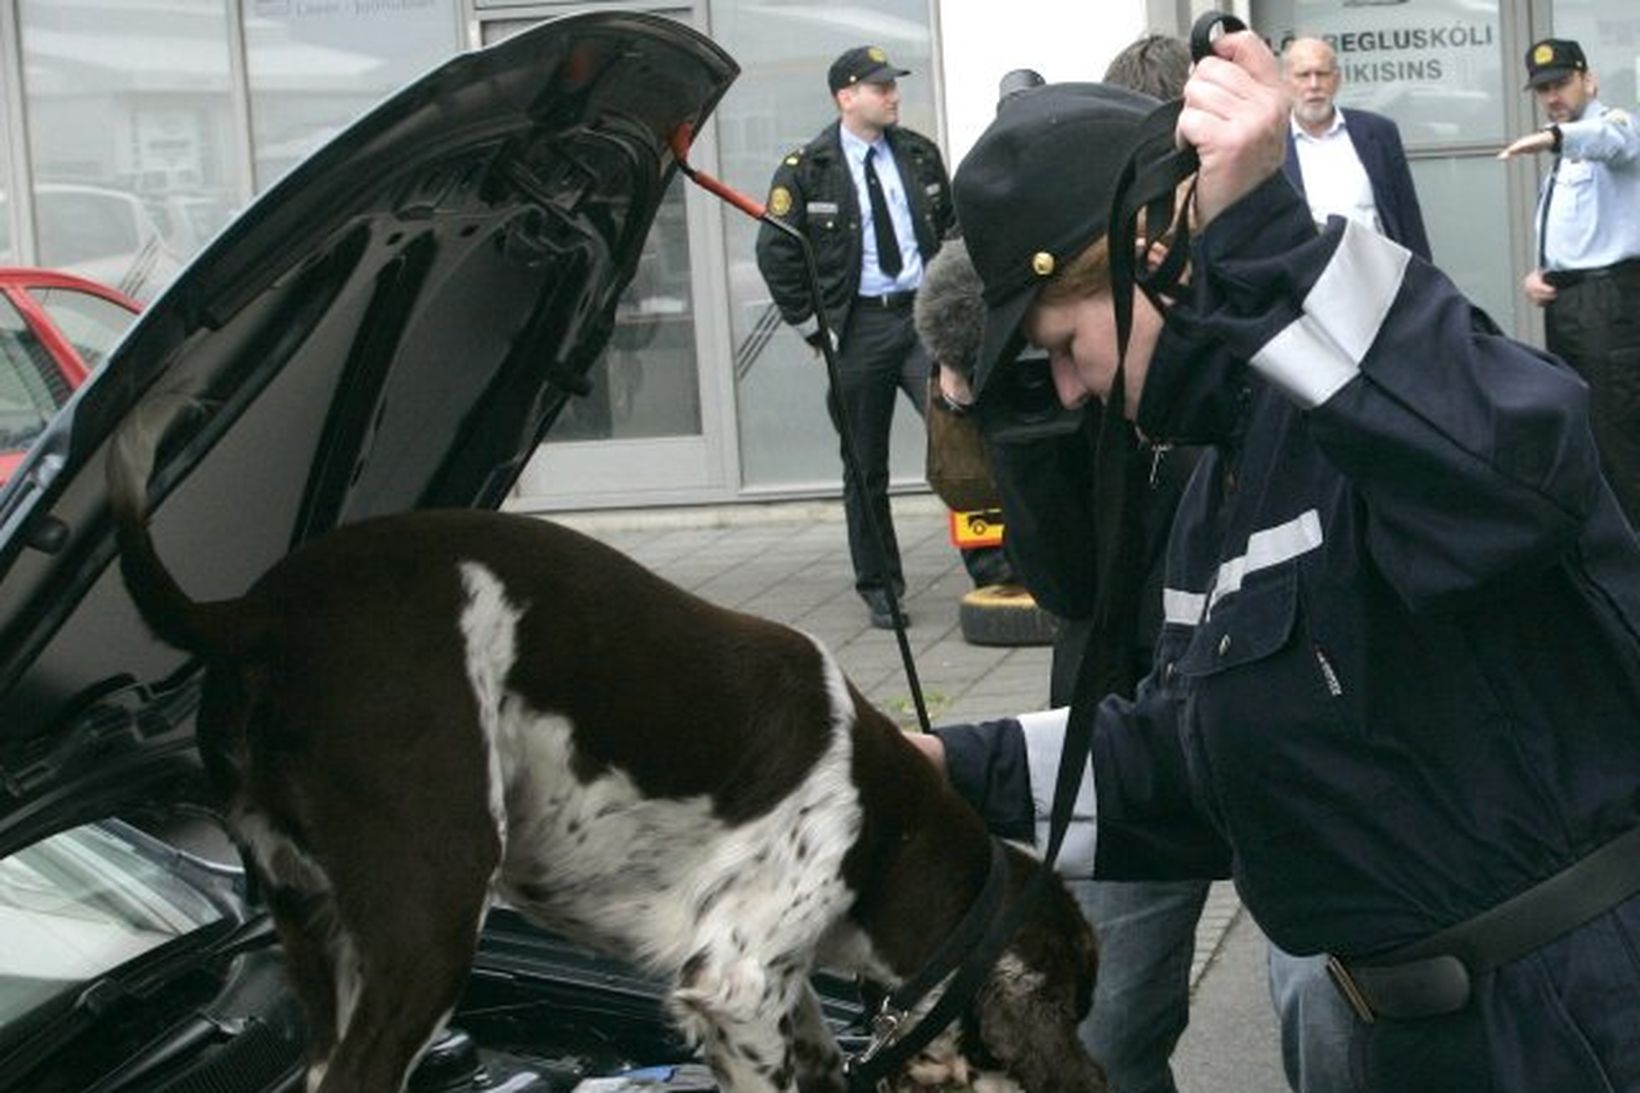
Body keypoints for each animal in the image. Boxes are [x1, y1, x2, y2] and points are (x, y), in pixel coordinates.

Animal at [109, 395, 1108, 1089]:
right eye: (1071, 1002)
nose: (1095, 1075)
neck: (887, 836)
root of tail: (253, 613)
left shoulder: (767, 985)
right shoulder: (737, 980)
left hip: (308, 918)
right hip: (431, 905)